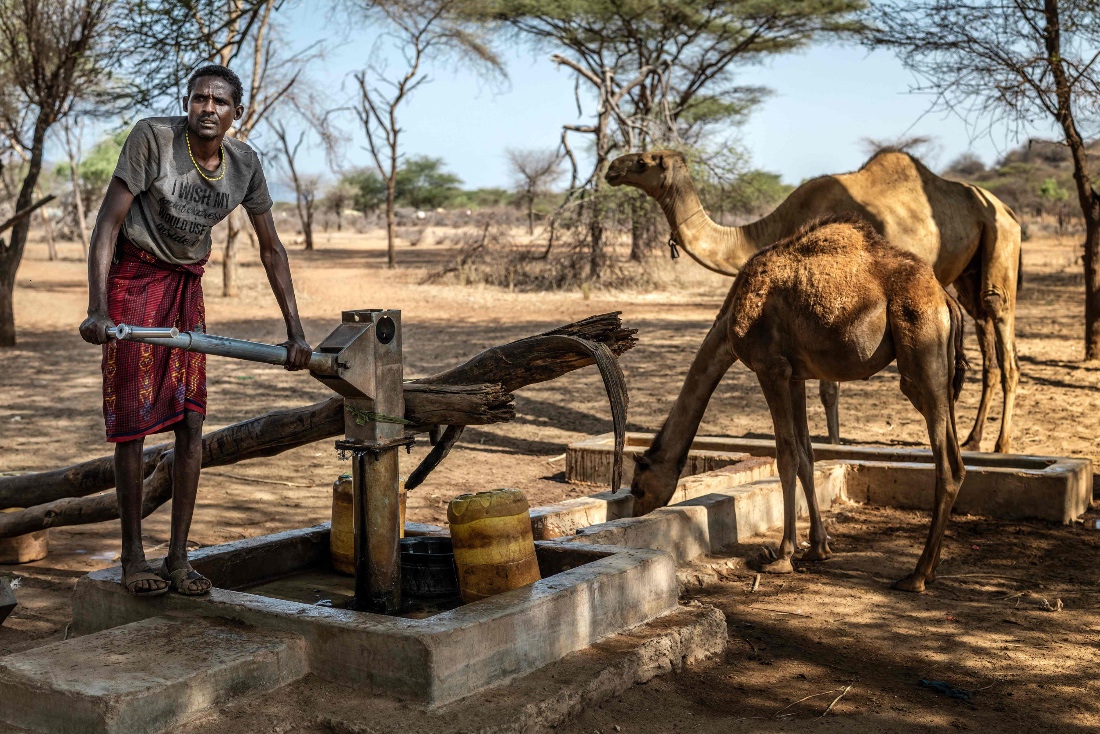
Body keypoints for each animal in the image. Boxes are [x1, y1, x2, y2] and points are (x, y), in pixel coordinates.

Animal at [605, 150, 1020, 452]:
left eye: (643, 160)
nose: (611, 168)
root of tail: (1007, 209)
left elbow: (828, 387)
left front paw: (834, 444)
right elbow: (825, 386)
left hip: (1001, 244)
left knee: (1002, 329)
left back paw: (1001, 444)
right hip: (968, 275)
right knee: (984, 335)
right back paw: (973, 439)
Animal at [630, 215, 968, 592]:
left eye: (637, 488)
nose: (637, 515)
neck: (731, 320)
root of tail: (946, 301)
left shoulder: (770, 368)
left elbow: (786, 455)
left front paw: (782, 556)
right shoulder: (796, 376)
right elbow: (807, 455)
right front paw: (818, 548)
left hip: (920, 355)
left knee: (947, 463)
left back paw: (916, 576)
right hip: (942, 372)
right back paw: (932, 568)